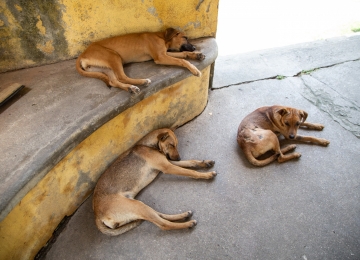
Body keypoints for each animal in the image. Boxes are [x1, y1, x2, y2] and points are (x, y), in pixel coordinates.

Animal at [75, 27, 205, 93]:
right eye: (185, 37)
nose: (194, 47)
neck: (162, 37)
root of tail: (83, 54)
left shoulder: (164, 53)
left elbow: (183, 54)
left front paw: (196, 55)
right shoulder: (160, 57)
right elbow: (182, 61)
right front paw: (194, 69)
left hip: (105, 67)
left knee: (113, 81)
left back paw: (130, 88)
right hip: (113, 56)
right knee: (121, 77)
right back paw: (142, 81)